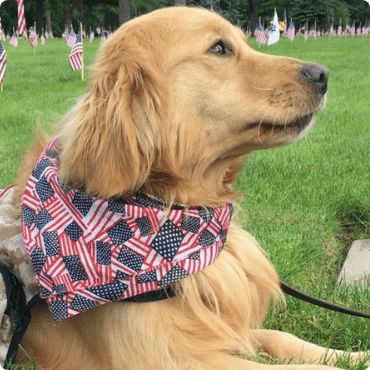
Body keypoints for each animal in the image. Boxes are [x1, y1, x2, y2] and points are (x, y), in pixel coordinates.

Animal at [13, 5, 368, 370]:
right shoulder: (171, 358)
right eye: (219, 48)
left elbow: (282, 338)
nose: (322, 74)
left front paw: (353, 354)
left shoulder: (219, 327)